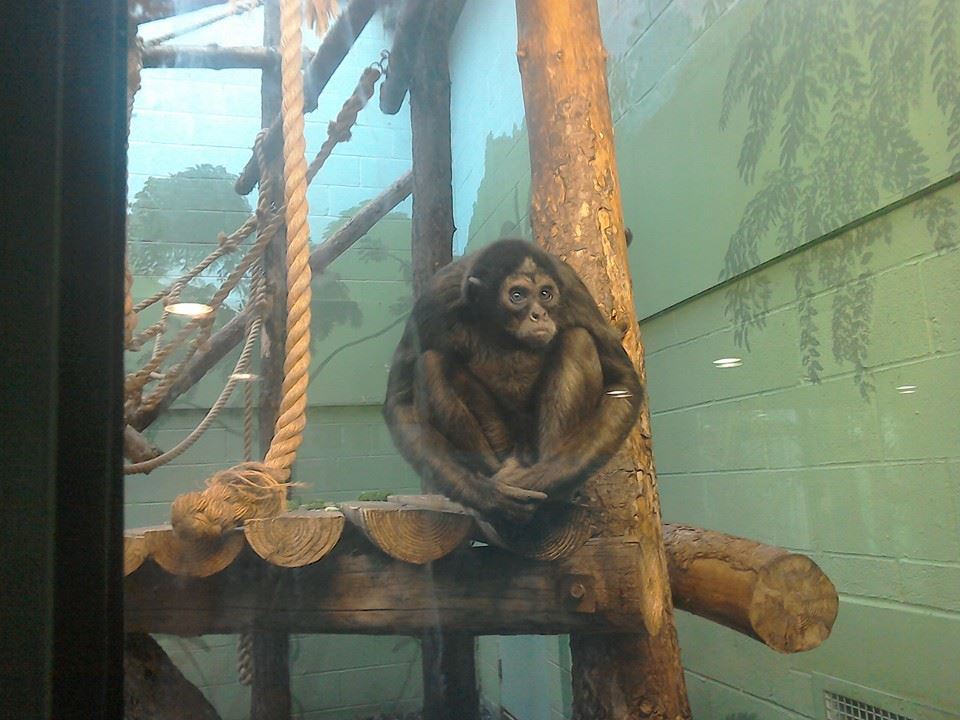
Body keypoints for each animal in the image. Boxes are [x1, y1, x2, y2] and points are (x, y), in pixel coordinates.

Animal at [382, 239, 642, 524]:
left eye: (545, 294)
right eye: (517, 295)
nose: (539, 314)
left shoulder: (572, 288)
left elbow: (623, 382)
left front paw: (540, 481)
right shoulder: (435, 299)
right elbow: (400, 401)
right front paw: (487, 496)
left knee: (578, 340)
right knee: (431, 364)